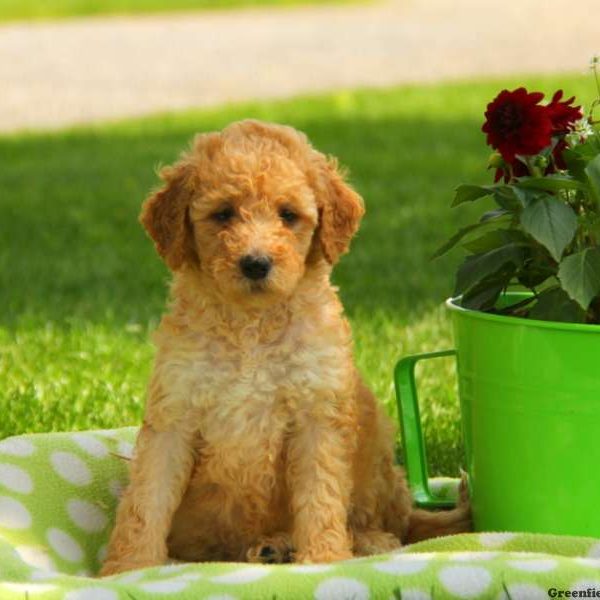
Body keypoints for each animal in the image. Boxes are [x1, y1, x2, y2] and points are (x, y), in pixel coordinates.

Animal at [101, 119, 472, 576]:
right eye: (223, 213)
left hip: (376, 464)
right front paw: (128, 568)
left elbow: (320, 497)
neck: (251, 327)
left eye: (288, 215)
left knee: (391, 523)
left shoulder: (317, 416)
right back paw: (271, 547)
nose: (256, 263)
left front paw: (324, 560)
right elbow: (146, 499)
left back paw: (356, 541)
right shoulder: (174, 412)